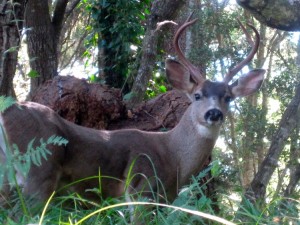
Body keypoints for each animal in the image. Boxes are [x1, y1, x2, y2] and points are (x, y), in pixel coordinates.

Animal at [0, 15, 264, 208]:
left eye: (228, 98)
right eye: (197, 95)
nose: (214, 114)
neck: (174, 157)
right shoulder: (141, 188)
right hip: (38, 171)